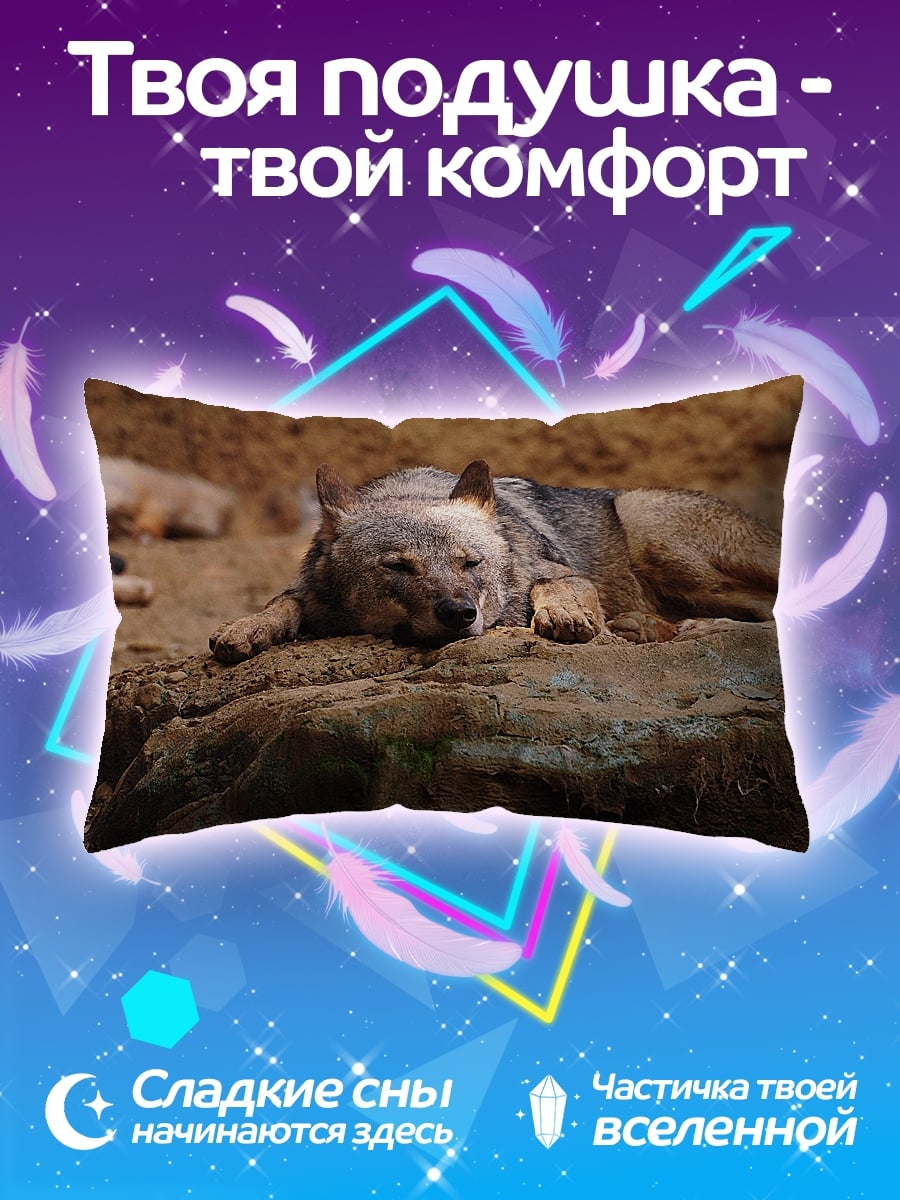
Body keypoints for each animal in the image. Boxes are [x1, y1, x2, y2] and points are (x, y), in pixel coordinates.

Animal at [209, 460, 779, 664]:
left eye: (471, 564)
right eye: (398, 568)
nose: (460, 614)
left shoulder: (560, 571)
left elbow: (555, 587)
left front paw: (564, 617)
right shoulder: (309, 593)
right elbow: (282, 603)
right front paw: (245, 628)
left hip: (647, 526)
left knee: (770, 611)